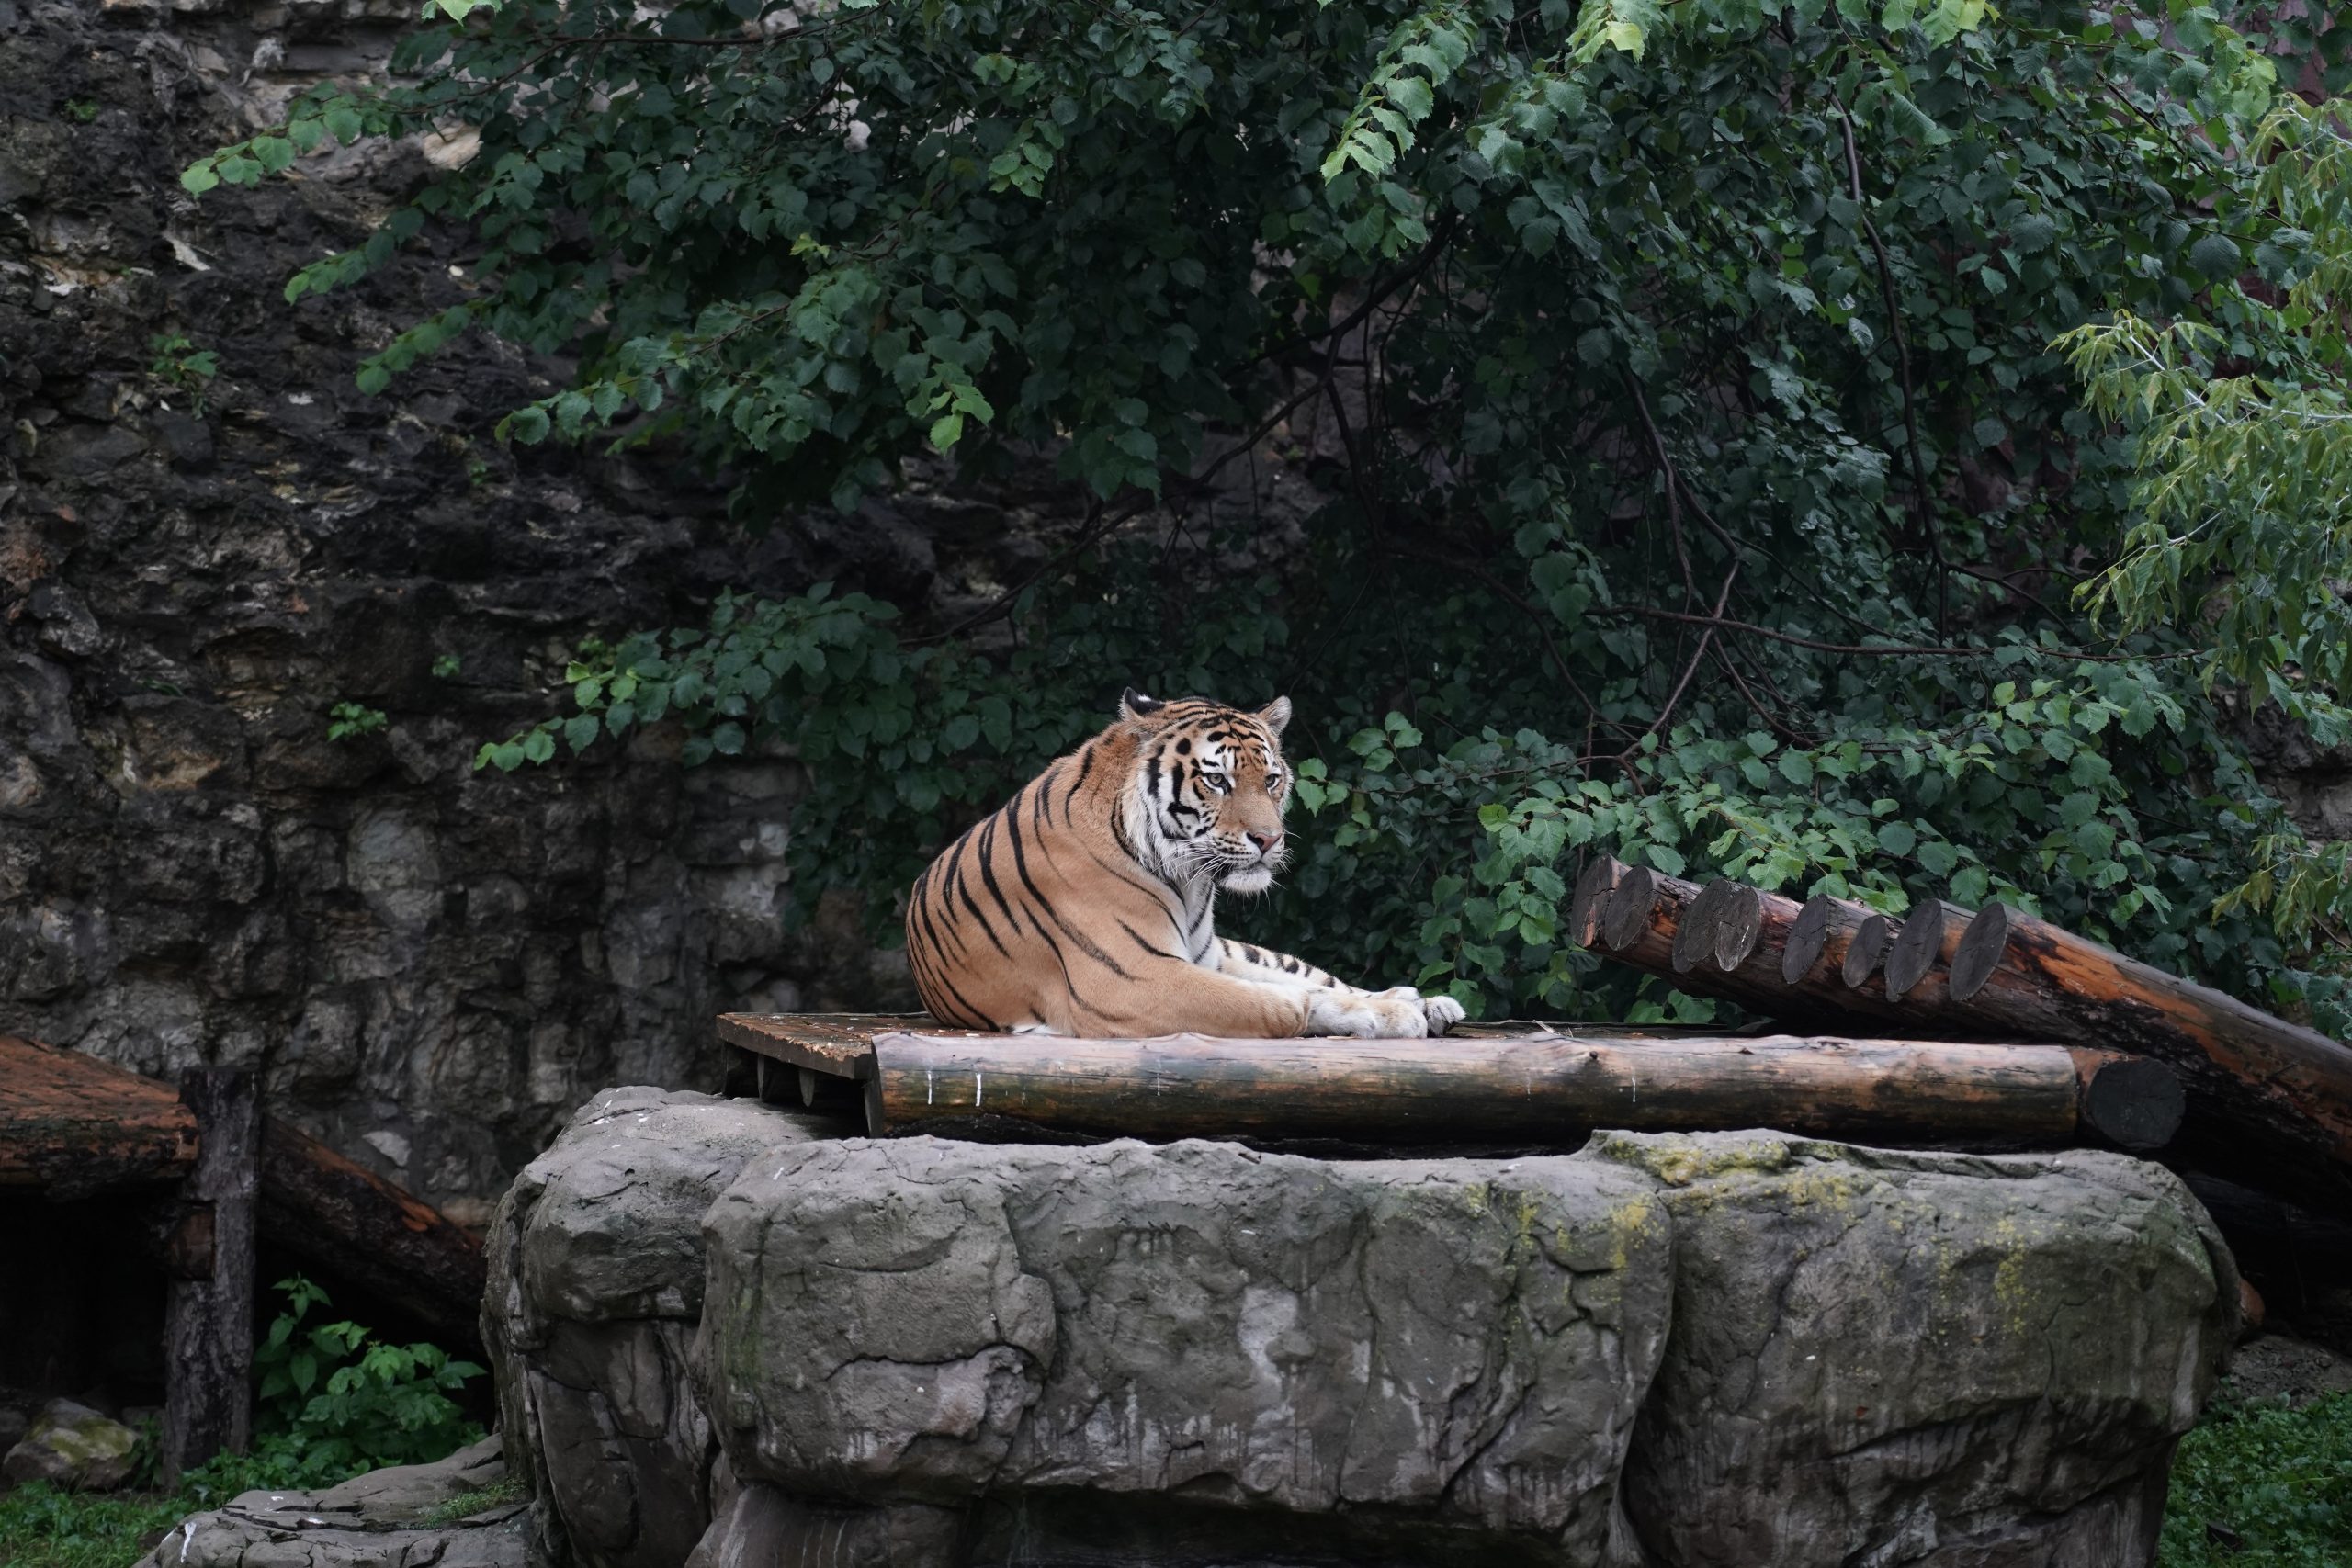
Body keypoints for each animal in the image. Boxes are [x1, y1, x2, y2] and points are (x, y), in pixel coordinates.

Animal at [903, 691, 1467, 1043]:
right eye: (1217, 780)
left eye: (1271, 780)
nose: (1270, 839)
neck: (1191, 883)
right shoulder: (1133, 979)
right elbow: (1282, 1004)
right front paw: (1394, 1015)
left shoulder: (1203, 960)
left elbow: (1307, 990)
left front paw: (1400, 1009)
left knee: (1319, 976)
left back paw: (1428, 1002)